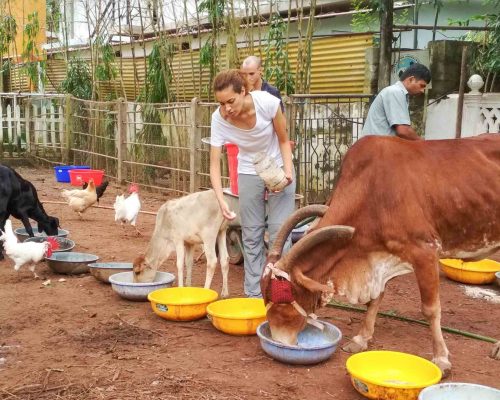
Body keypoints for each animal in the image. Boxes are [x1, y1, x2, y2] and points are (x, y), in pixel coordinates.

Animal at [262, 135, 500, 378]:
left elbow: (431, 310)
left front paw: (441, 359)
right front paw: (361, 339)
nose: (278, 339)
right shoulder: (381, 258)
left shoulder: (425, 252)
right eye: (265, 296)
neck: (372, 191)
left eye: (283, 297)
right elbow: (375, 299)